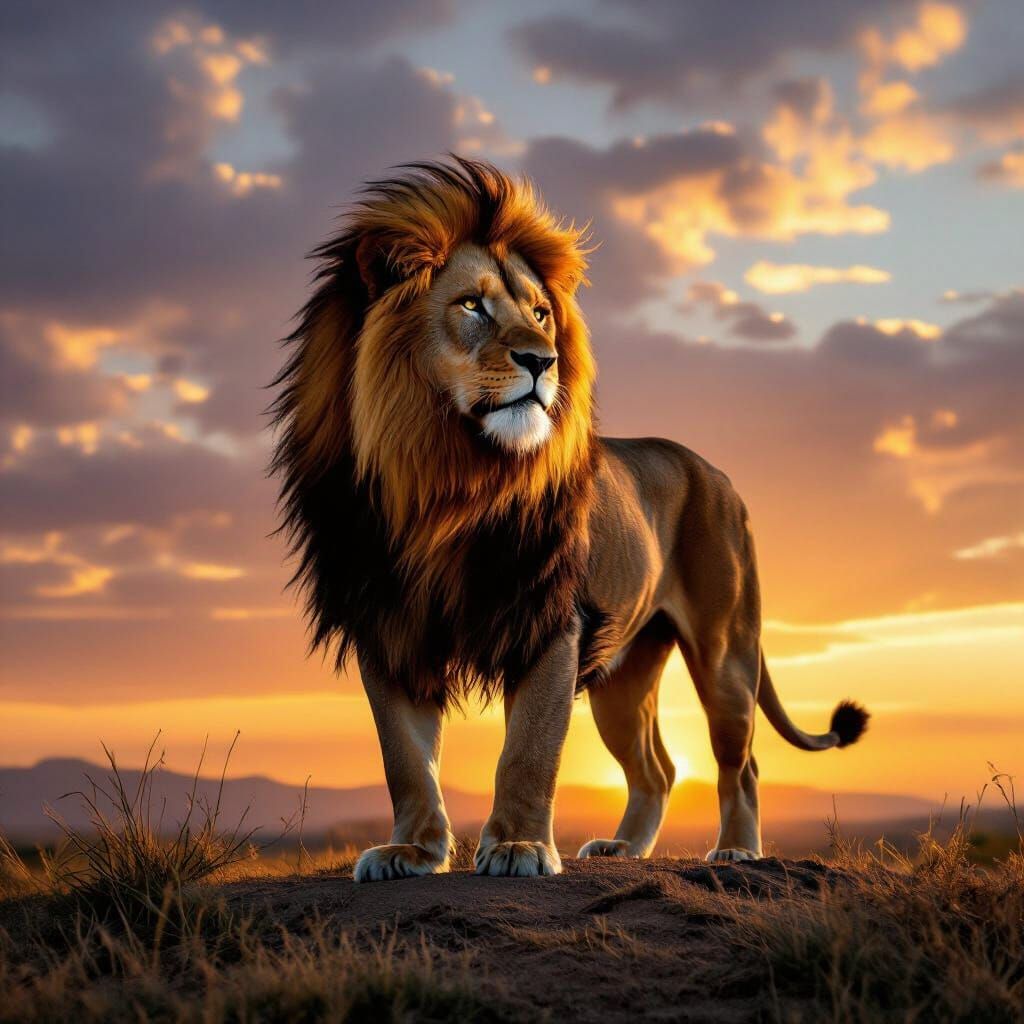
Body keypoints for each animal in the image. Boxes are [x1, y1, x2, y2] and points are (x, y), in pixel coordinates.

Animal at [271, 157, 868, 882]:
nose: (543, 360)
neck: (442, 480)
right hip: (625, 673)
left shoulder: (550, 619)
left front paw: (519, 847)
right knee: (659, 769)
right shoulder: (387, 624)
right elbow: (405, 758)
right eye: (471, 305)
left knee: (741, 762)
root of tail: (720, 476)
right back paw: (624, 848)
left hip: (725, 652)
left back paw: (737, 849)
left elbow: (529, 749)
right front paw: (411, 851)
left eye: (540, 314)